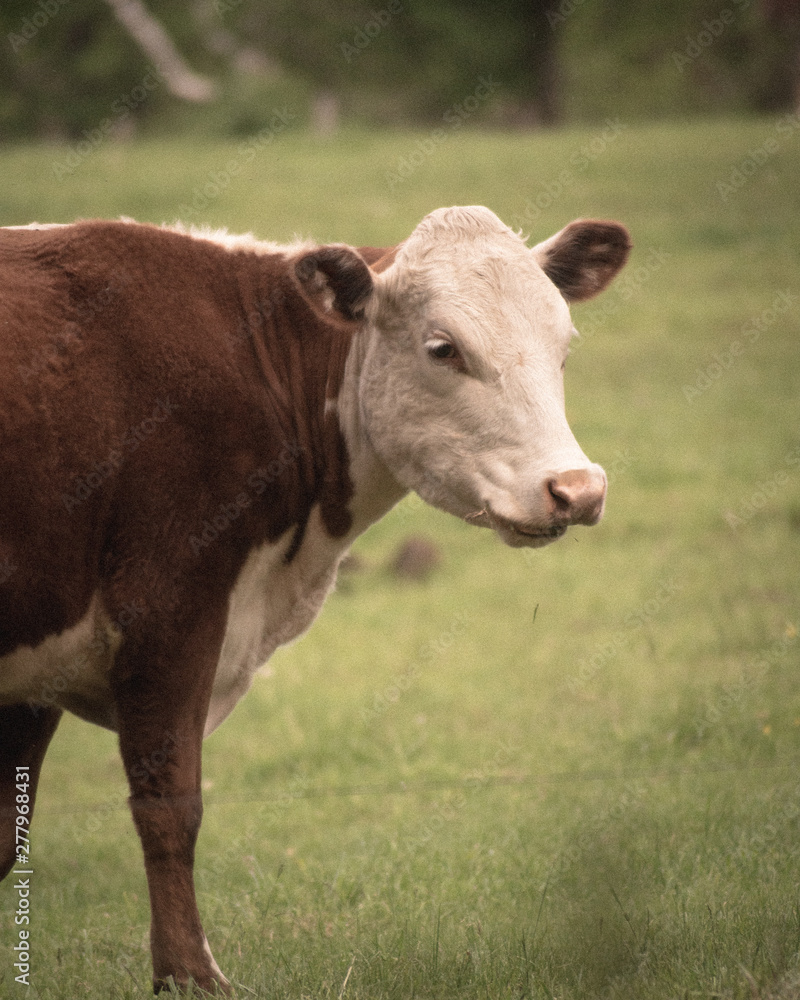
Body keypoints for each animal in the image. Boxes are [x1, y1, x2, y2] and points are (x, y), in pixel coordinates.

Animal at [0, 205, 632, 992]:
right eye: (444, 348)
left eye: (563, 346)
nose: (576, 488)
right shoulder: (168, 615)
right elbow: (170, 808)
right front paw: (190, 975)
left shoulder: (35, 672)